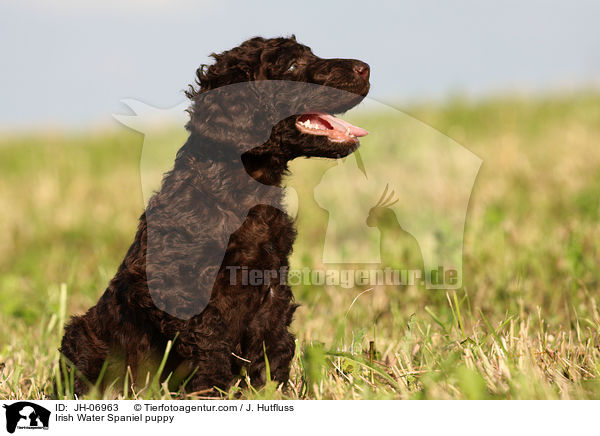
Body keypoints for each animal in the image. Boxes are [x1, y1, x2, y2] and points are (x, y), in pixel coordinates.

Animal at [61, 35, 370, 396]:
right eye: (293, 65)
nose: (366, 68)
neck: (240, 189)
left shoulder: (271, 287)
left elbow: (274, 345)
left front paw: (270, 391)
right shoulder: (186, 289)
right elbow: (211, 348)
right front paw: (213, 393)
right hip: (82, 337)